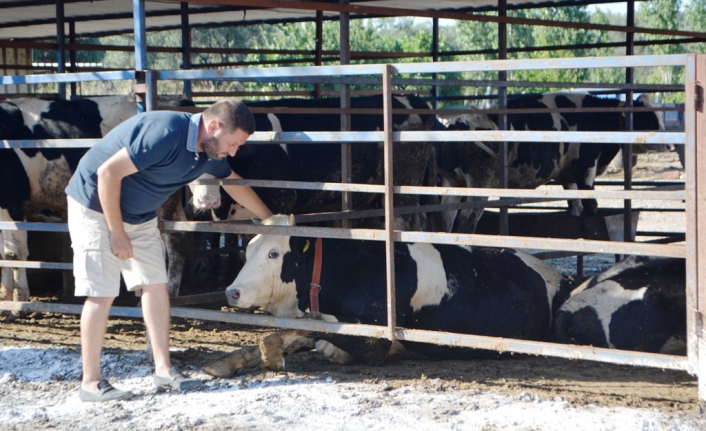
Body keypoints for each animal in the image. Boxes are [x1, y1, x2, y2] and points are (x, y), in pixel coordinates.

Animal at [0, 95, 192, 308]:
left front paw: (18, 303)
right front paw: (5, 296)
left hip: (163, 198)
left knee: (173, 238)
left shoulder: (14, 202)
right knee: (180, 233)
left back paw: (167, 293)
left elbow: (13, 253)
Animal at [202, 214, 568, 376]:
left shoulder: (374, 338)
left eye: (274, 253)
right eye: (248, 248)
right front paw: (230, 361)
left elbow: (319, 331)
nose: (232, 291)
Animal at [434, 91, 672, 233]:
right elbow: (591, 205)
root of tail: (456, 123)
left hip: (453, 182)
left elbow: (575, 206)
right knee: (467, 217)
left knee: (446, 215)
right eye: (649, 118)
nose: (670, 144)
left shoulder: (568, 175)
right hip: (480, 182)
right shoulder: (587, 168)